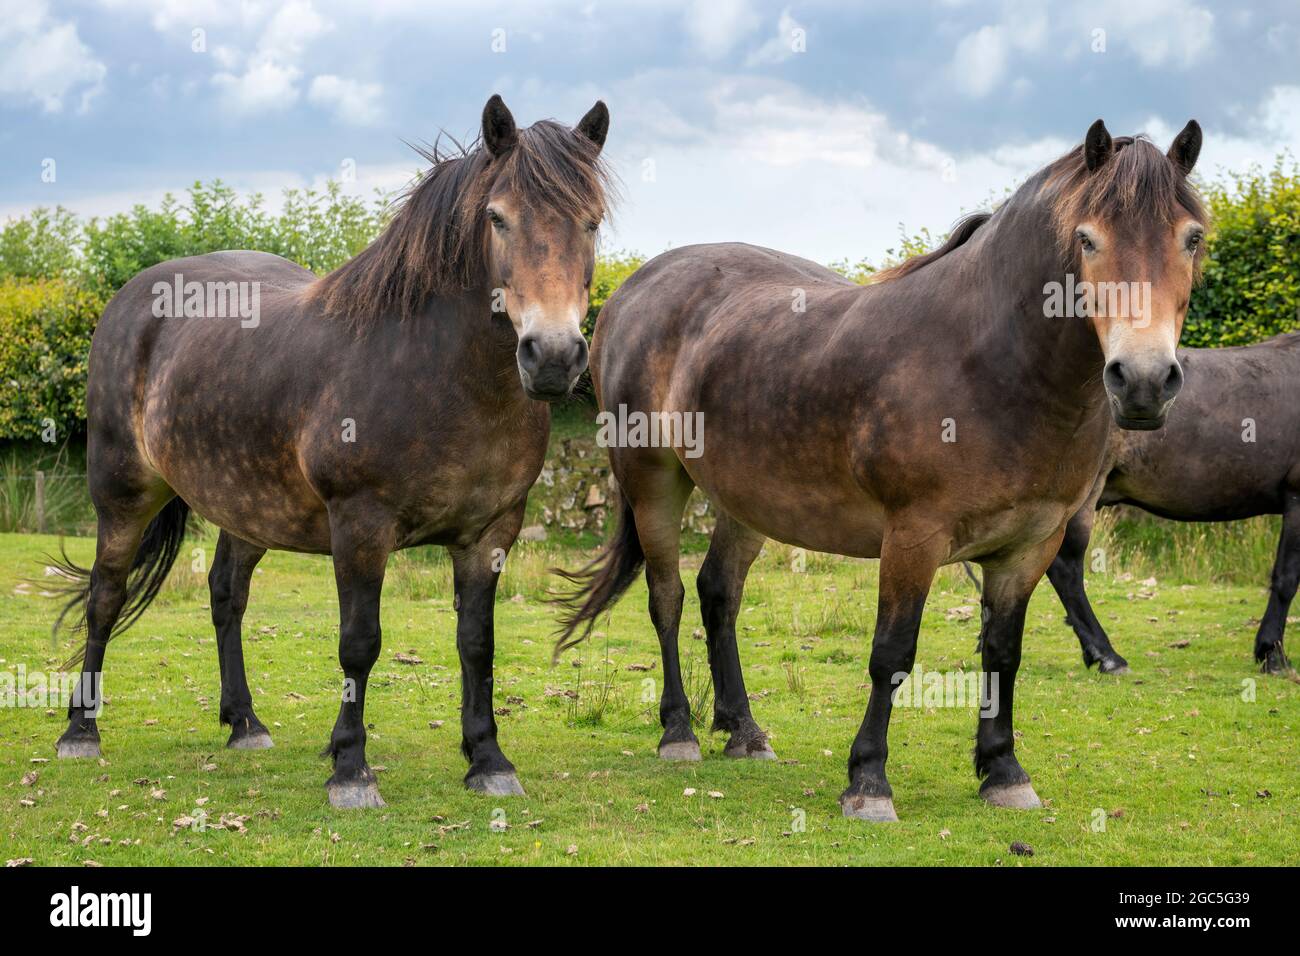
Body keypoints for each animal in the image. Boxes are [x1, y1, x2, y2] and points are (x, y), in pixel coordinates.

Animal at [53, 95, 611, 806]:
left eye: (592, 221)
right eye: (497, 217)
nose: (554, 357)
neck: (435, 371)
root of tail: (130, 298)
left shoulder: (490, 533)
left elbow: (477, 644)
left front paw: (488, 760)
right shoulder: (360, 525)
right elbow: (359, 644)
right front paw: (350, 767)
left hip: (248, 508)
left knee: (225, 595)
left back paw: (245, 722)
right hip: (123, 494)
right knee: (105, 595)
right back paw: (80, 731)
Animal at [559, 119, 1206, 822]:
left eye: (1193, 238)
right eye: (1087, 239)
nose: (1144, 381)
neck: (989, 364)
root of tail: (629, 290)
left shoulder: (1030, 546)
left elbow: (1003, 654)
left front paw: (1003, 771)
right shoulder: (913, 538)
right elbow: (892, 654)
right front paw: (867, 781)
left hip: (745, 499)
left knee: (718, 594)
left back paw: (744, 731)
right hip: (653, 481)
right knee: (667, 596)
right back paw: (678, 731)